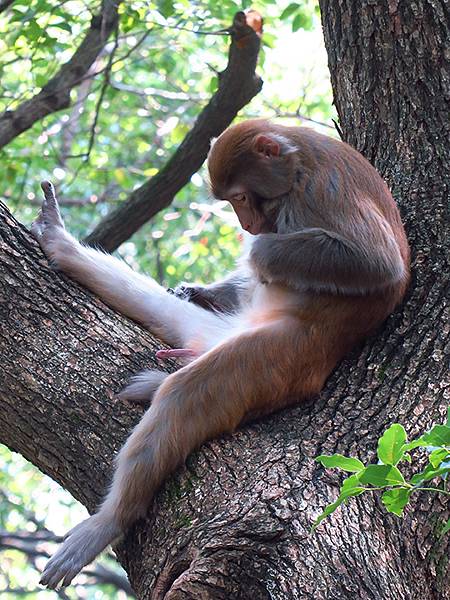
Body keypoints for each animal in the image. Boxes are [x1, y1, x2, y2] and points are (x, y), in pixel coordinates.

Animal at [31, 119, 410, 588]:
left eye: (244, 197)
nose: (247, 224)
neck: (297, 161)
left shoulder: (323, 190)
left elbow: (375, 264)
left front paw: (259, 253)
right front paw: (201, 288)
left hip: (277, 359)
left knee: (187, 394)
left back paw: (111, 519)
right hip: (215, 334)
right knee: (161, 314)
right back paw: (61, 245)